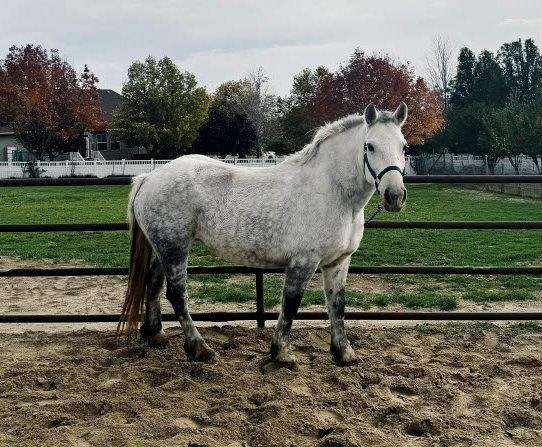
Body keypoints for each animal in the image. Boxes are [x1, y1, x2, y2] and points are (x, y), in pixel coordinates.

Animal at [119, 104, 408, 368]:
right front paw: (281, 353)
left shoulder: (339, 262)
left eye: (404, 146)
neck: (331, 191)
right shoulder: (303, 261)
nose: (395, 195)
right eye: (370, 146)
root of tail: (149, 177)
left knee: (153, 283)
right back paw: (199, 349)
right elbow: (291, 303)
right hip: (175, 247)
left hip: (164, 248)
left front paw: (344, 353)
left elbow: (337, 305)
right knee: (177, 294)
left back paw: (154, 334)